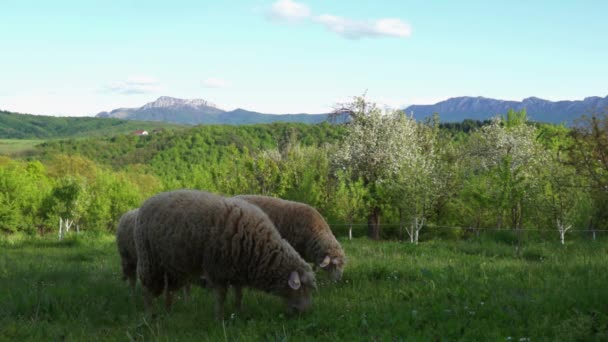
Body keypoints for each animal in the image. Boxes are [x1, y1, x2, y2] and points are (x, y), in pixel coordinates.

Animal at [132, 188, 314, 320]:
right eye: (303, 287)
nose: (304, 314)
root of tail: (148, 201)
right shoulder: (217, 269)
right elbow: (221, 297)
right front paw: (219, 319)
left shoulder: (238, 270)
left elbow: (239, 294)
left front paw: (239, 311)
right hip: (149, 258)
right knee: (147, 290)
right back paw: (149, 315)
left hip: (173, 264)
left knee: (170, 290)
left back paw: (168, 313)